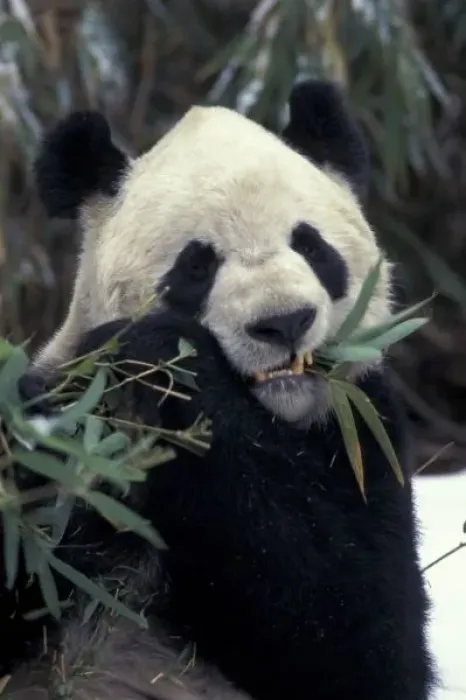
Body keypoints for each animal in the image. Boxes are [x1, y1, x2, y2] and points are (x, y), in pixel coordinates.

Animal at [1, 80, 434, 700]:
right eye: (198, 265)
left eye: (311, 246)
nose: (283, 322)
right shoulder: (54, 426)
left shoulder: (364, 434)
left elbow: (357, 631)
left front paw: (167, 359)